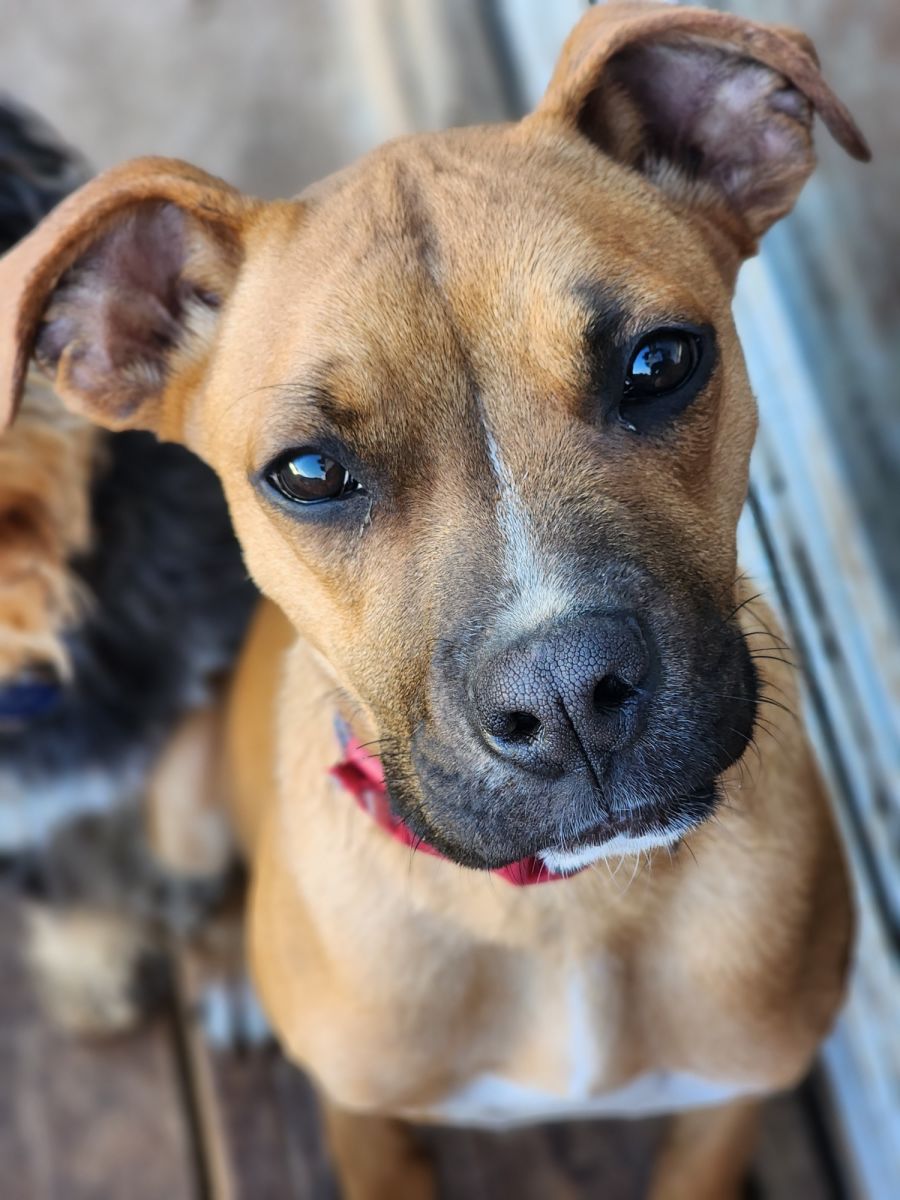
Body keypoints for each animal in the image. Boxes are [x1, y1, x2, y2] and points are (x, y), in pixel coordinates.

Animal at [0, 3, 869, 1195]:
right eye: (308, 472)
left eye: (661, 362)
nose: (566, 698)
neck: (567, 908)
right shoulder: (368, 1124)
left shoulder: (730, 1105)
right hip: (183, 802)